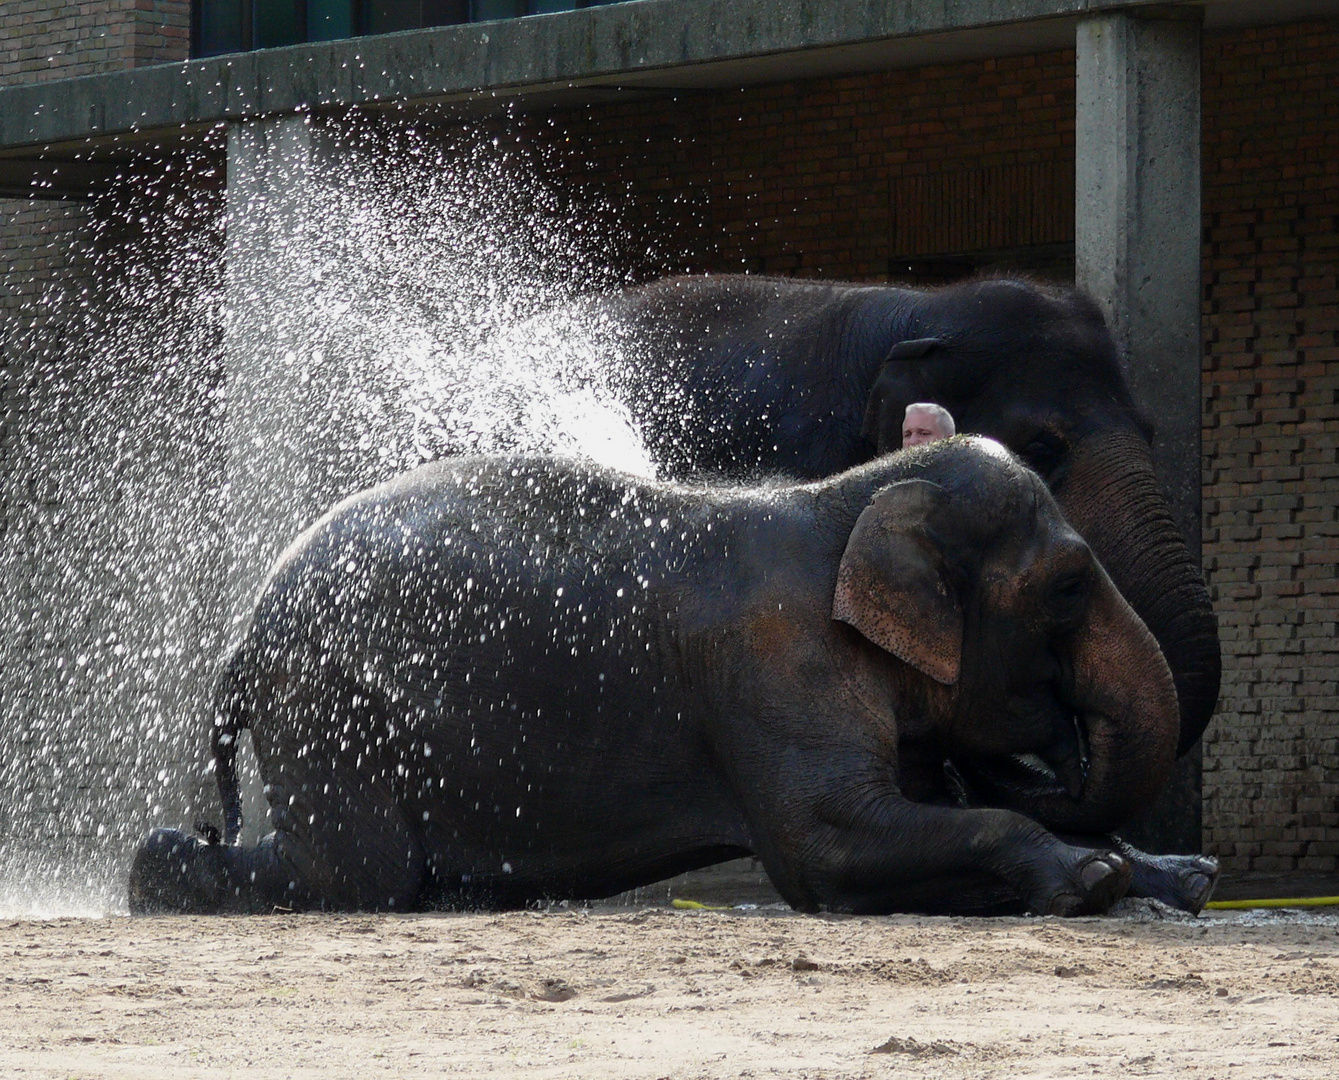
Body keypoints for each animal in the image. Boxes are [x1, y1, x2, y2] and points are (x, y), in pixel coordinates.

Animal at [125, 438, 1172, 920]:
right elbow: (824, 845)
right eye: (1069, 588)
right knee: (360, 875)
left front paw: (1164, 876)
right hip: (329, 702)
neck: (853, 496)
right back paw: (155, 876)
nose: (1059, 737)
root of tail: (241, 642)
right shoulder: (774, 665)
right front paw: (1090, 877)